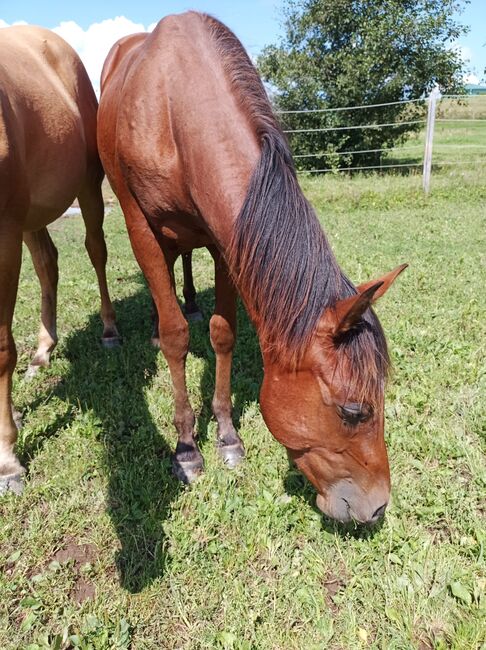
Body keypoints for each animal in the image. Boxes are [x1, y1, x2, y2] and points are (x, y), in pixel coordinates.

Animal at [0, 24, 119, 492]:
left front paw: (8, 459)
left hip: (84, 188)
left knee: (96, 251)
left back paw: (108, 329)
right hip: (29, 214)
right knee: (47, 263)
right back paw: (42, 353)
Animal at [98, 12, 406, 524]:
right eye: (352, 411)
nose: (377, 507)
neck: (175, 103)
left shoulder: (230, 241)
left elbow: (223, 333)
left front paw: (226, 435)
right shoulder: (140, 226)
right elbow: (178, 337)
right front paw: (187, 447)